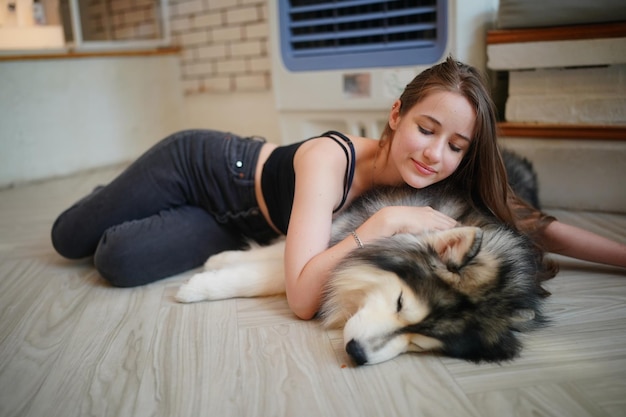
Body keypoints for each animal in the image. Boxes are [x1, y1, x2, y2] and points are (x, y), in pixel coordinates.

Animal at [176, 150, 552, 364]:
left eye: (422, 341)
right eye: (400, 302)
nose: (356, 354)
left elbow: (274, 274)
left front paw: (204, 279)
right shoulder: (339, 230)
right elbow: (275, 258)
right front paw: (213, 268)